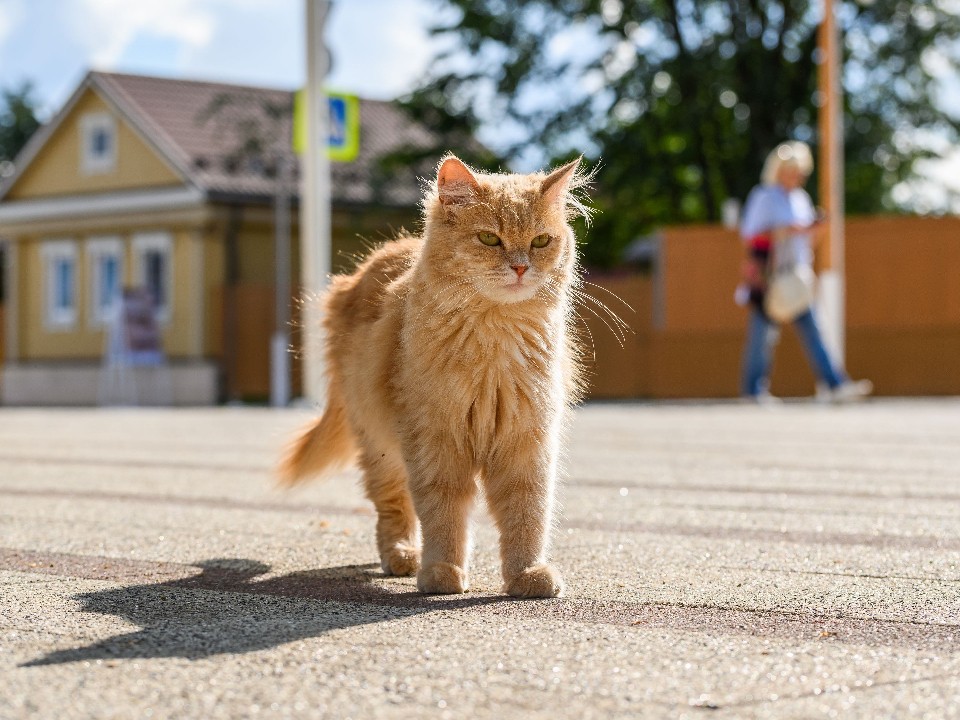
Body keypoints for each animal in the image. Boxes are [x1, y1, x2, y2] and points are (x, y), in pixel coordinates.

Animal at [282, 155, 588, 600]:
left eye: (541, 242)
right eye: (489, 239)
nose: (519, 267)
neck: (493, 346)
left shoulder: (526, 442)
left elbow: (527, 514)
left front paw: (527, 575)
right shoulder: (436, 441)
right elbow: (443, 515)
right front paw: (442, 573)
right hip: (380, 446)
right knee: (393, 507)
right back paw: (404, 557)